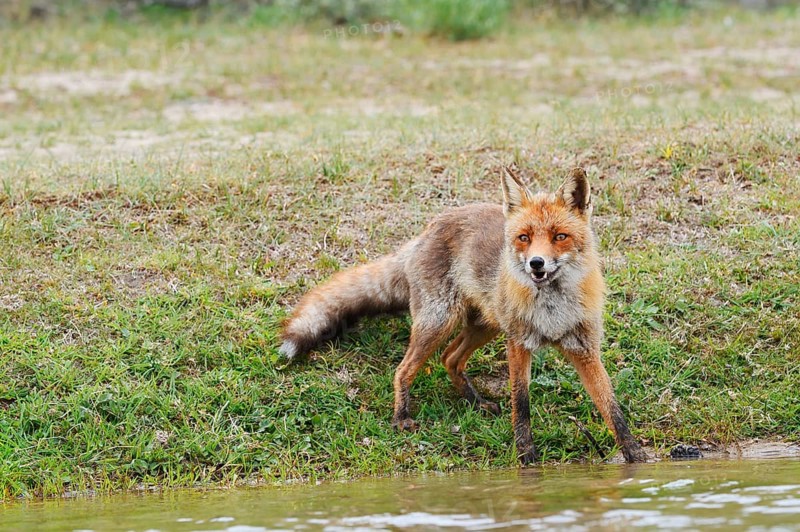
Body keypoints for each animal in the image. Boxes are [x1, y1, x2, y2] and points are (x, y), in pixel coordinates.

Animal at [279, 166, 648, 464]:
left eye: (560, 236)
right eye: (524, 238)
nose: (536, 263)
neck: (553, 308)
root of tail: (426, 230)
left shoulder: (584, 348)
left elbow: (611, 407)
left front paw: (635, 457)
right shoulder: (519, 344)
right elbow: (522, 404)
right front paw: (527, 458)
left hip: (486, 326)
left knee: (450, 359)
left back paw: (476, 402)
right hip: (441, 321)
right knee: (404, 369)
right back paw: (401, 417)